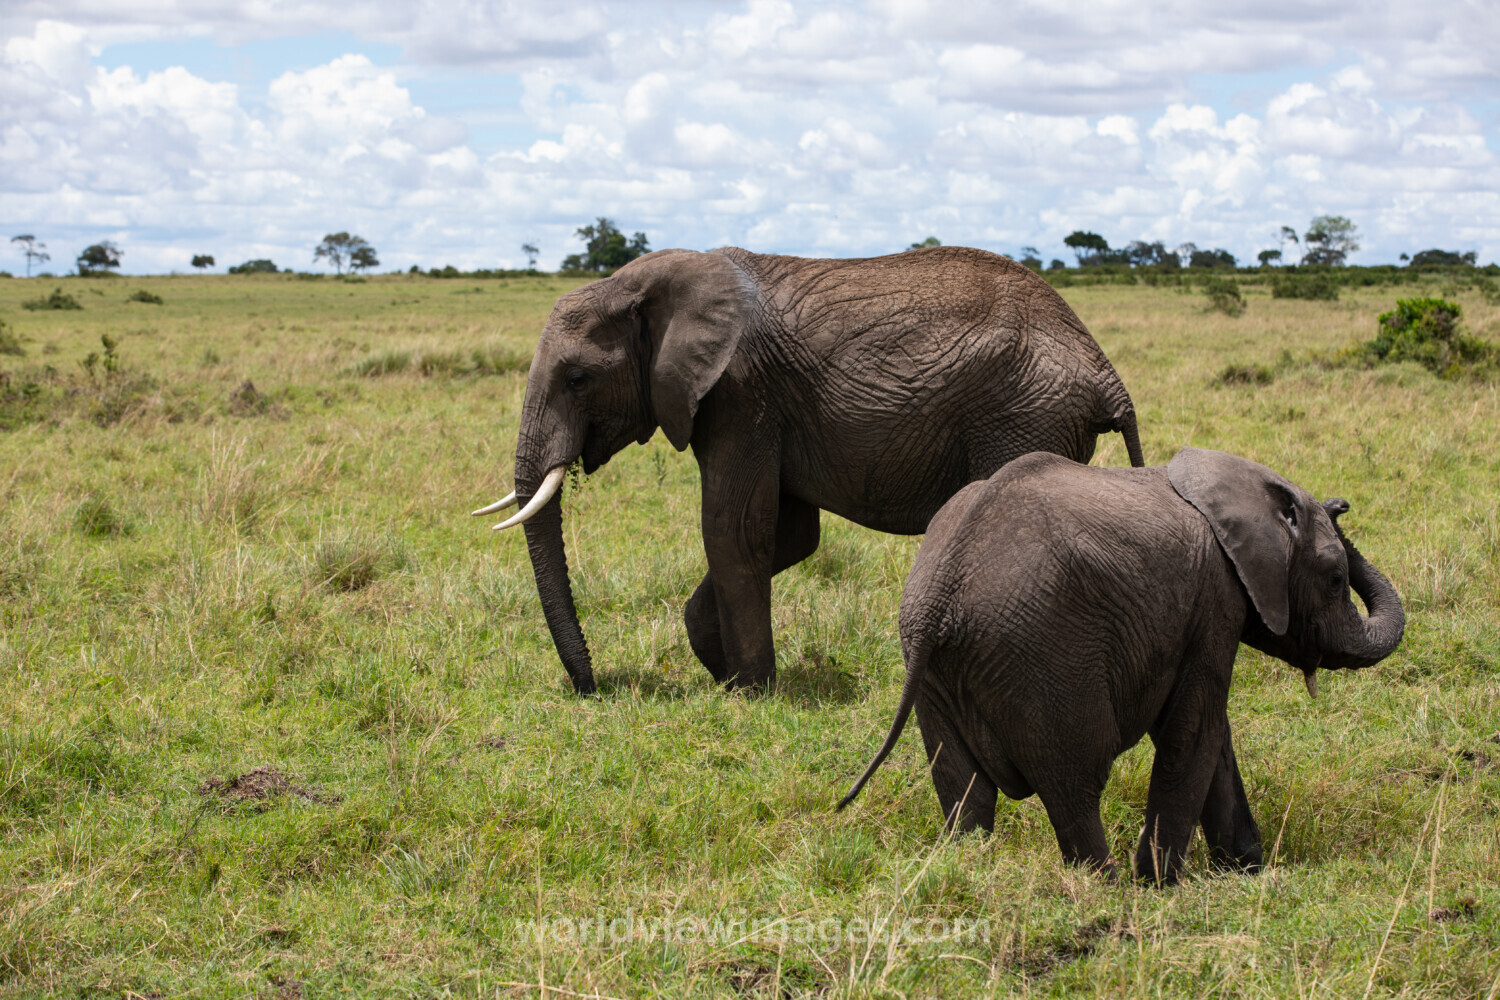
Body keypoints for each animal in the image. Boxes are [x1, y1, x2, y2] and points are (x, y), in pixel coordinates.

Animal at [474, 245, 1144, 694]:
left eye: (577, 378)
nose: (593, 687)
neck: (647, 283)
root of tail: (1105, 371)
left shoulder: (741, 392)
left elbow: (733, 530)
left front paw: (750, 691)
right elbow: (791, 535)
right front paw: (719, 666)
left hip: (1024, 419)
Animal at [838, 447, 1405, 884]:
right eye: (1335, 579)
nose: (1340, 503)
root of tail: (940, 591)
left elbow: (1213, 735)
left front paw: (1244, 871)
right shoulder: (1214, 602)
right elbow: (1194, 731)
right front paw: (1161, 883)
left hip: (935, 671)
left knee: (964, 790)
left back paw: (970, 870)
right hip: (1046, 659)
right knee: (1076, 783)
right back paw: (1108, 887)